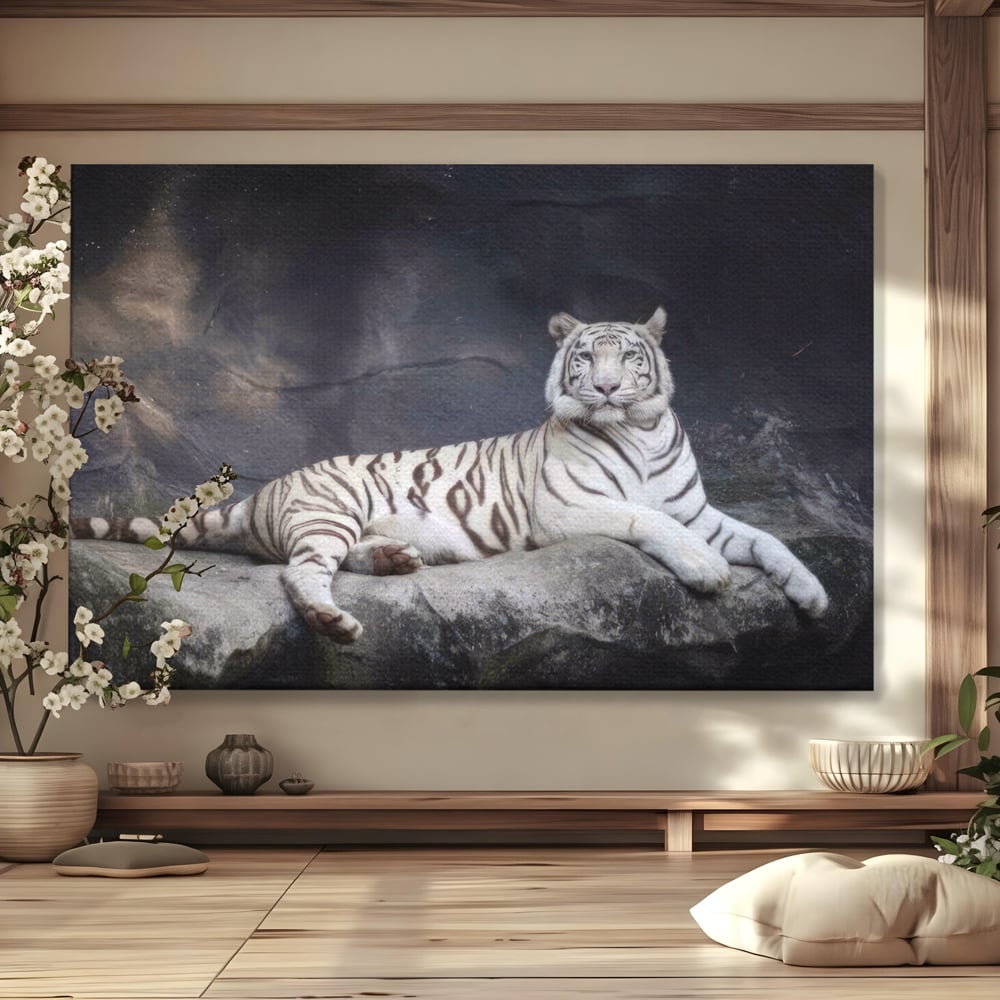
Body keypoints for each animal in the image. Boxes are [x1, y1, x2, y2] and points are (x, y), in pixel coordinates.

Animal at [74, 307, 829, 643]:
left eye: (630, 358)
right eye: (588, 357)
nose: (609, 388)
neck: (638, 430)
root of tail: (267, 490)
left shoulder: (698, 509)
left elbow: (766, 540)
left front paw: (814, 595)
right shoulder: (568, 509)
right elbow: (648, 518)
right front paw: (707, 571)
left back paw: (396, 558)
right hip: (328, 511)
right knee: (300, 573)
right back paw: (334, 619)